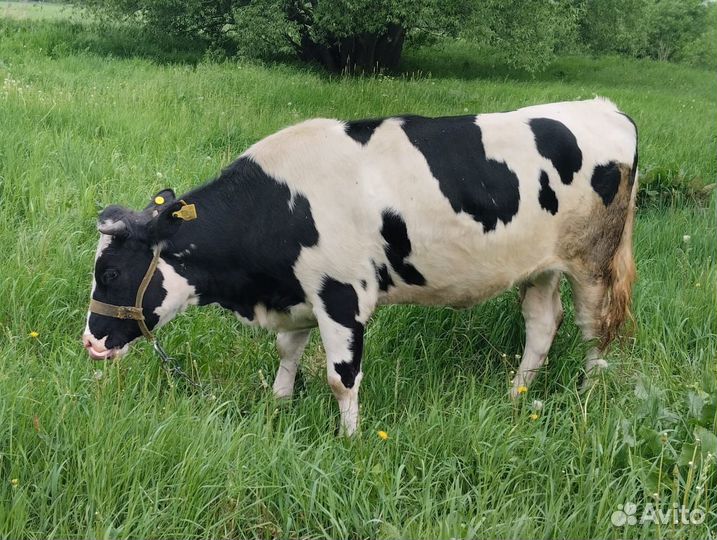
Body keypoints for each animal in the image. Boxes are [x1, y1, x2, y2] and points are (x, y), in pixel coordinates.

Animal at [83, 98, 638, 435]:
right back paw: (516, 394)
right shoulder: (298, 291)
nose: (91, 341)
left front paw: (350, 438)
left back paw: (587, 396)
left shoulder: (341, 295)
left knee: (595, 331)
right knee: (543, 325)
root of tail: (604, 107)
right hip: (538, 266)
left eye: (110, 274)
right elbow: (287, 351)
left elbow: (341, 377)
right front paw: (279, 404)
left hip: (594, 262)